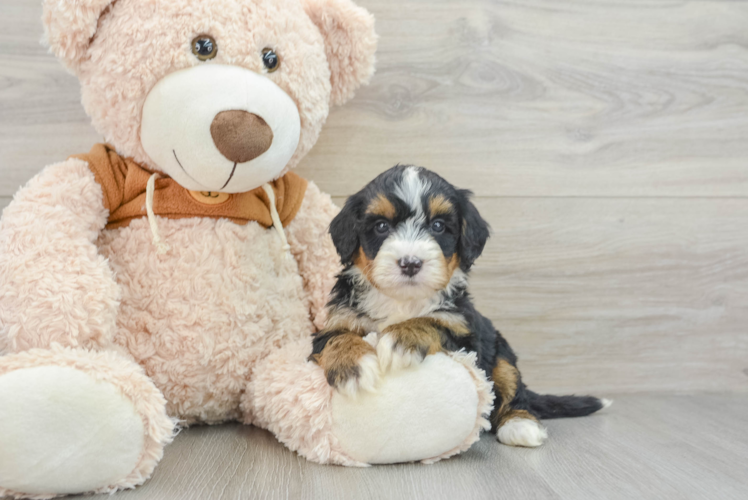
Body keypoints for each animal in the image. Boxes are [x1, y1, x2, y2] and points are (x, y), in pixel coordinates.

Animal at [310, 166, 608, 448]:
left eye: (438, 226)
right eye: (381, 226)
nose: (410, 263)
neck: (403, 300)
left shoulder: (464, 333)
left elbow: (432, 322)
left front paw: (401, 337)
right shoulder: (334, 323)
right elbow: (337, 339)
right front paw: (353, 366)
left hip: (501, 354)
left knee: (513, 388)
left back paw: (520, 424)